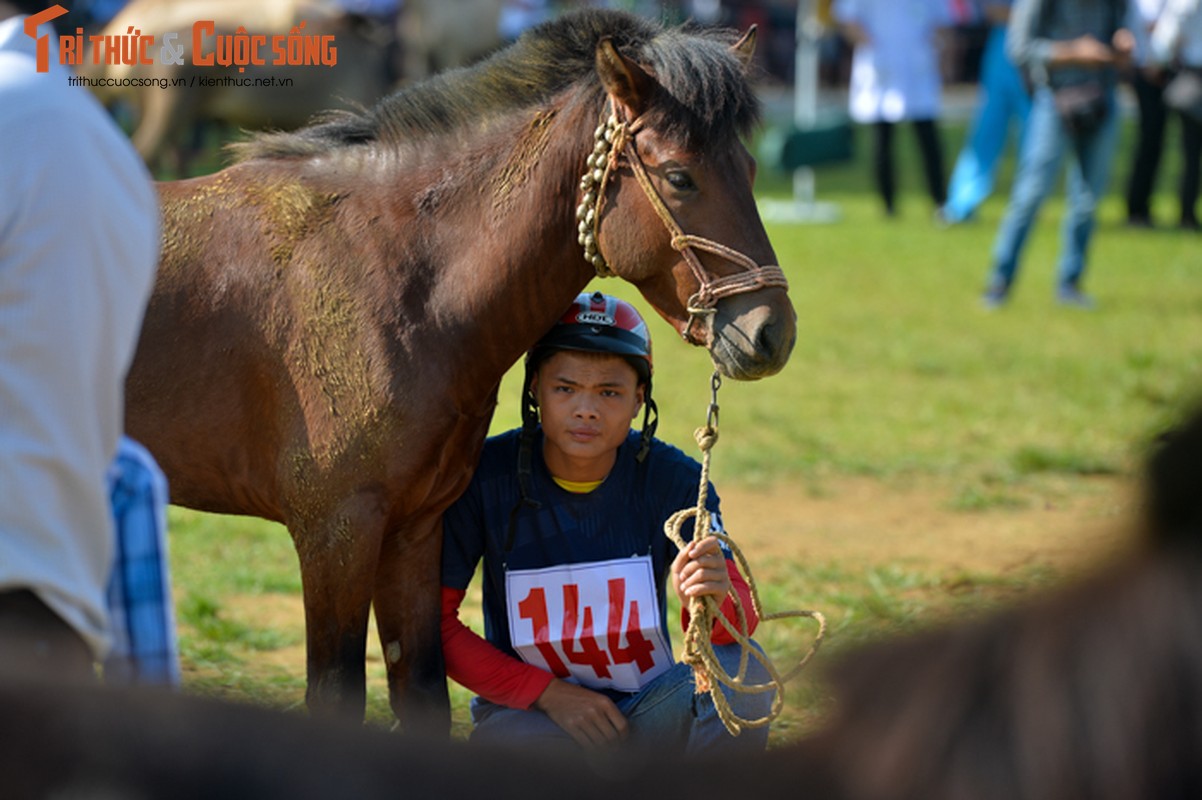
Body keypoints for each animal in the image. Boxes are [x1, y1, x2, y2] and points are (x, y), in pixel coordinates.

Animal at [126, 10, 793, 735]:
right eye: (679, 177)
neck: (386, 272)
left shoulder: (414, 531)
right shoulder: (336, 533)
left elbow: (422, 690)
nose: (772, 332)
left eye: (750, 167)